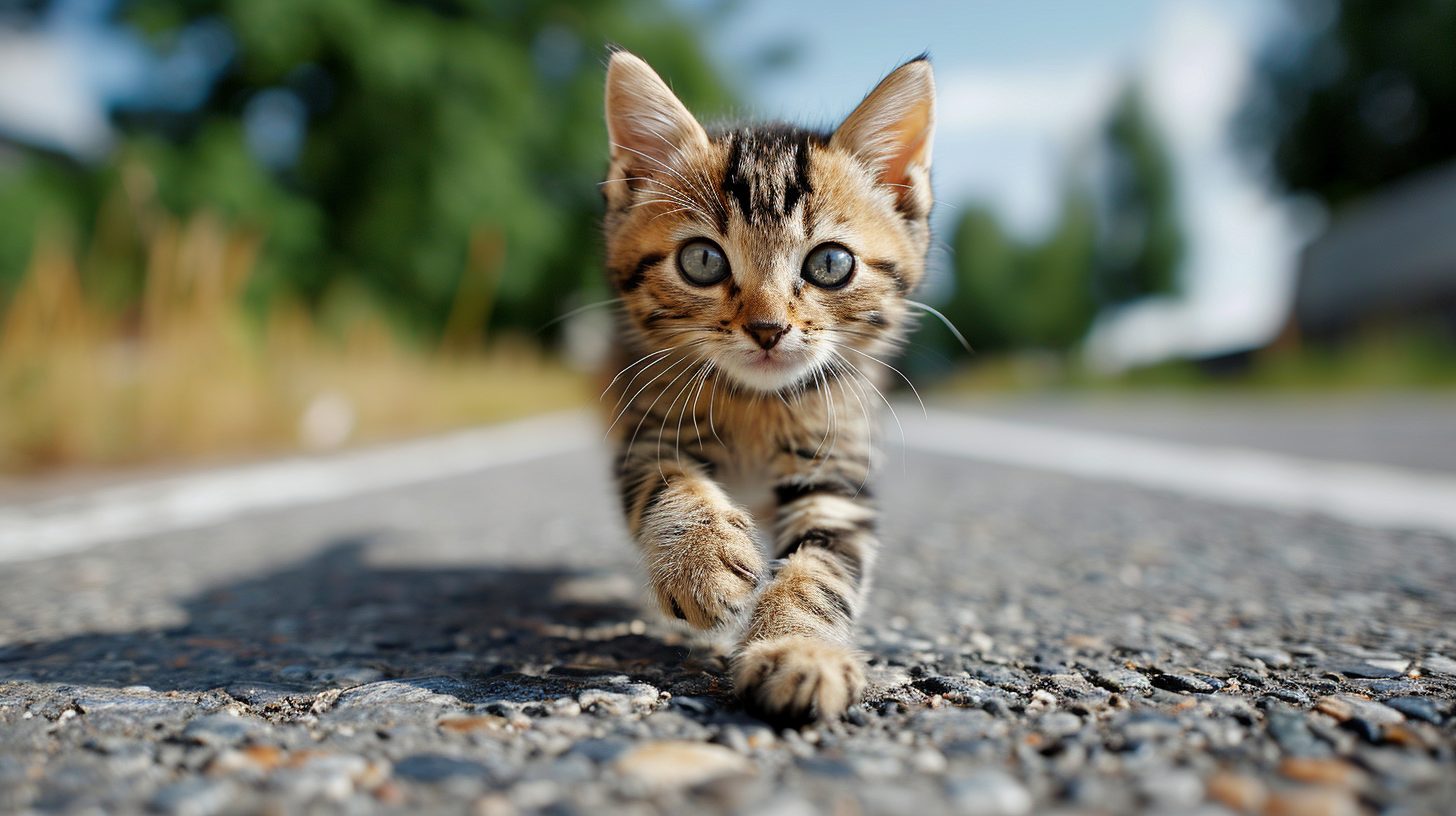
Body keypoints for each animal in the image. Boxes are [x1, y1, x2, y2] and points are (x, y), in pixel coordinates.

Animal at [599, 49, 931, 719]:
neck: (756, 403)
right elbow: (668, 482)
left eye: (830, 264)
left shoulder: (836, 468)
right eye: (703, 260)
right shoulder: (648, 428)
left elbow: (822, 567)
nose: (768, 328)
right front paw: (700, 563)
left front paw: (798, 651)